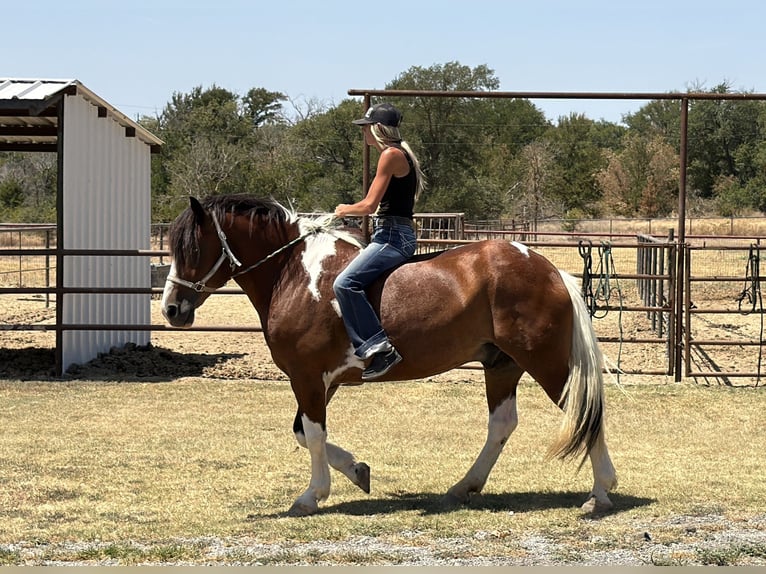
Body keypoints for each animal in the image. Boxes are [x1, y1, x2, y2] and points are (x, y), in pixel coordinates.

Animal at [161, 194, 617, 517]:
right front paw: (357, 471)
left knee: (585, 413)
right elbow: (304, 432)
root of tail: (549, 269)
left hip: (545, 362)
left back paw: (599, 494)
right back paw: (464, 487)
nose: (171, 310)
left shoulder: (307, 377)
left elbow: (312, 434)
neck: (295, 274)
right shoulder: (321, 381)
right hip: (501, 365)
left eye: (192, 249)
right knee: (502, 425)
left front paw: (312, 495)